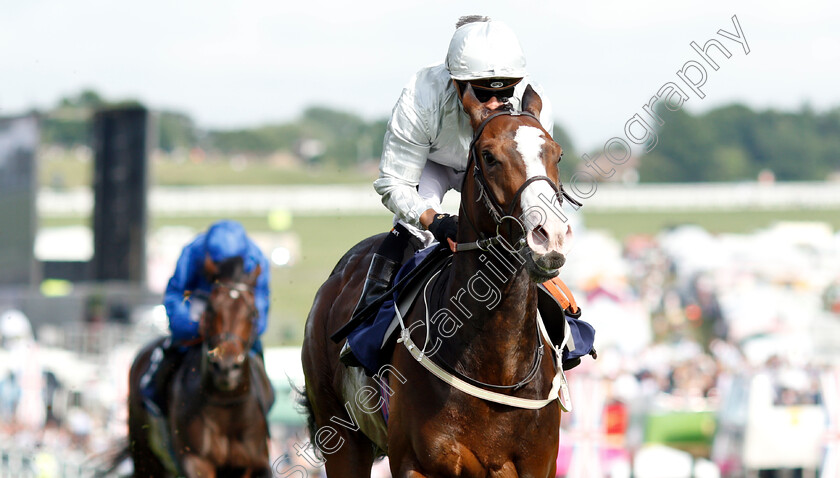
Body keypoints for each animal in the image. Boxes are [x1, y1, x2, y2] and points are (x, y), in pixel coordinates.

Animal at [298, 84, 576, 476]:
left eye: (557, 154)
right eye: (489, 156)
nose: (550, 236)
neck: (497, 368)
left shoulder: (539, 464)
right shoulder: (416, 463)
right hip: (340, 436)